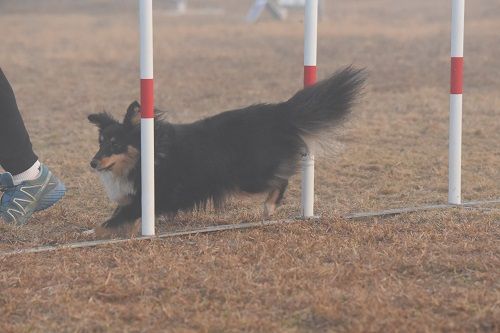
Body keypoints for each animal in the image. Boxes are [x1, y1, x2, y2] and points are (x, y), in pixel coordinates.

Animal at [88, 66, 366, 232]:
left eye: (115, 144)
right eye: (100, 142)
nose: (92, 163)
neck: (150, 154)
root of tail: (278, 112)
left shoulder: (152, 195)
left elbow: (112, 220)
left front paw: (92, 232)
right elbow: (121, 214)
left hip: (249, 176)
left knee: (283, 178)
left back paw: (269, 207)